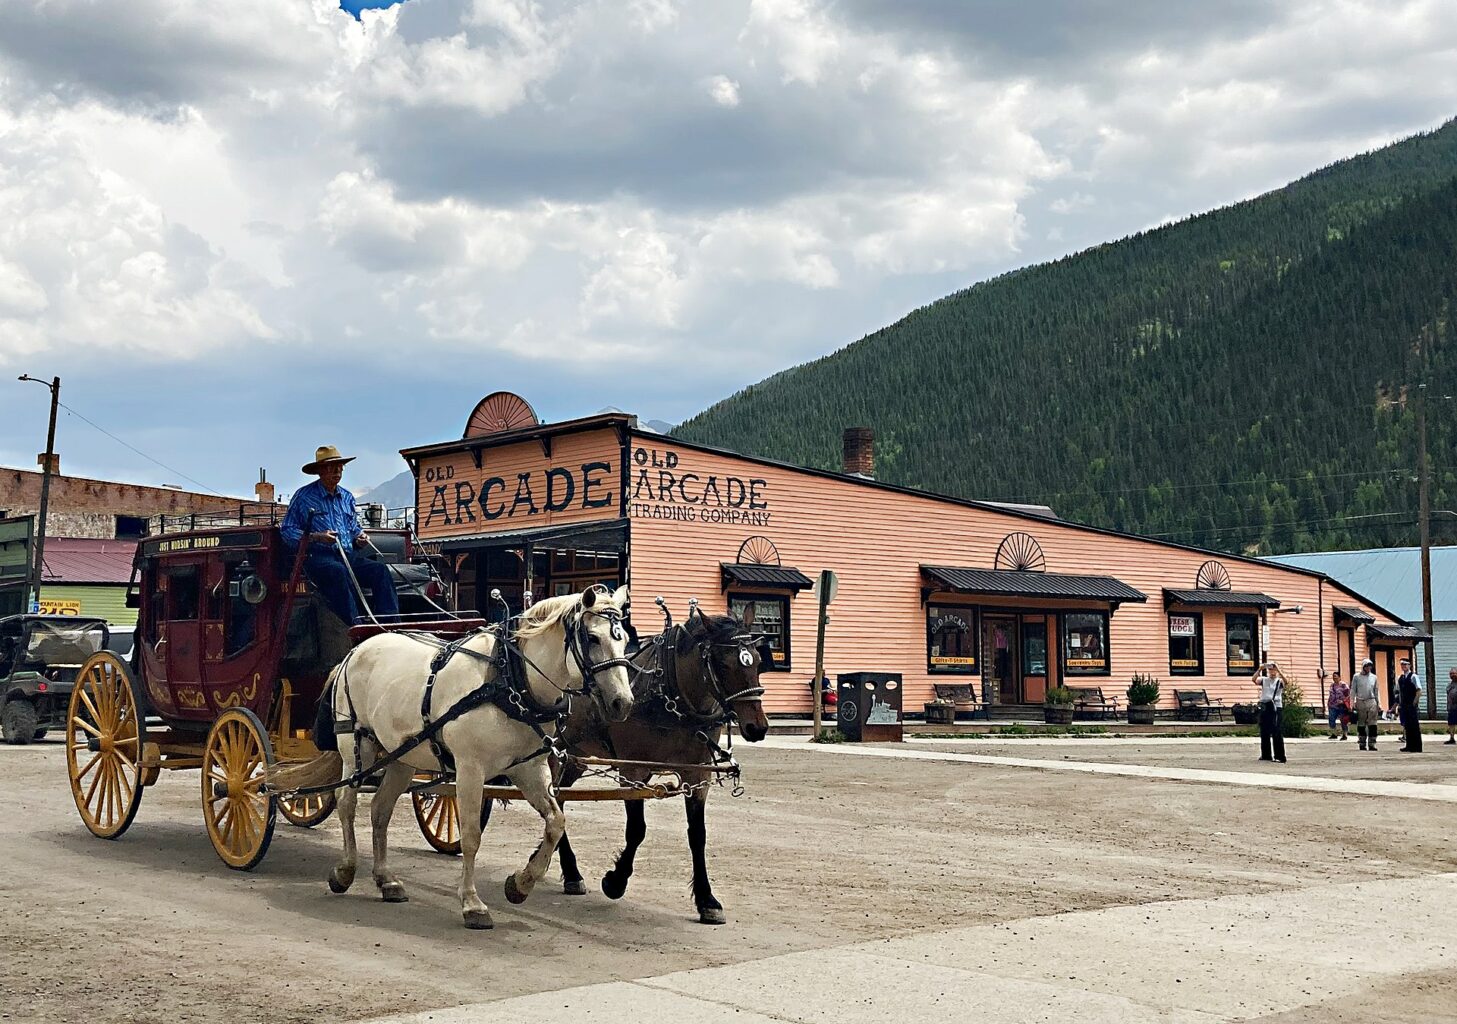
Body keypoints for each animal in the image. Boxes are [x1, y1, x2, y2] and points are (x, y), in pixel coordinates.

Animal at [268, 585, 632, 932]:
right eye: (593, 638)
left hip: (401, 757)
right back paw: (345, 870)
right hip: (357, 744)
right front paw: (472, 904)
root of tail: (355, 651)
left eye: (625, 638)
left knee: (380, 810)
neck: (509, 680)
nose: (623, 703)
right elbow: (470, 835)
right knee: (346, 801)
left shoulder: (528, 768)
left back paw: (386, 879)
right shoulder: (470, 768)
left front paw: (521, 884)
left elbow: (556, 823)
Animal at [550, 605, 769, 926]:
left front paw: (707, 900)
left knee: (559, 800)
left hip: (574, 757)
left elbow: (698, 835)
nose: (757, 727)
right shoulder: (633, 770)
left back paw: (570, 871)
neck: (670, 693)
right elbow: (636, 830)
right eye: (722, 663)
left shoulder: (697, 774)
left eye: (757, 661)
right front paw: (616, 880)